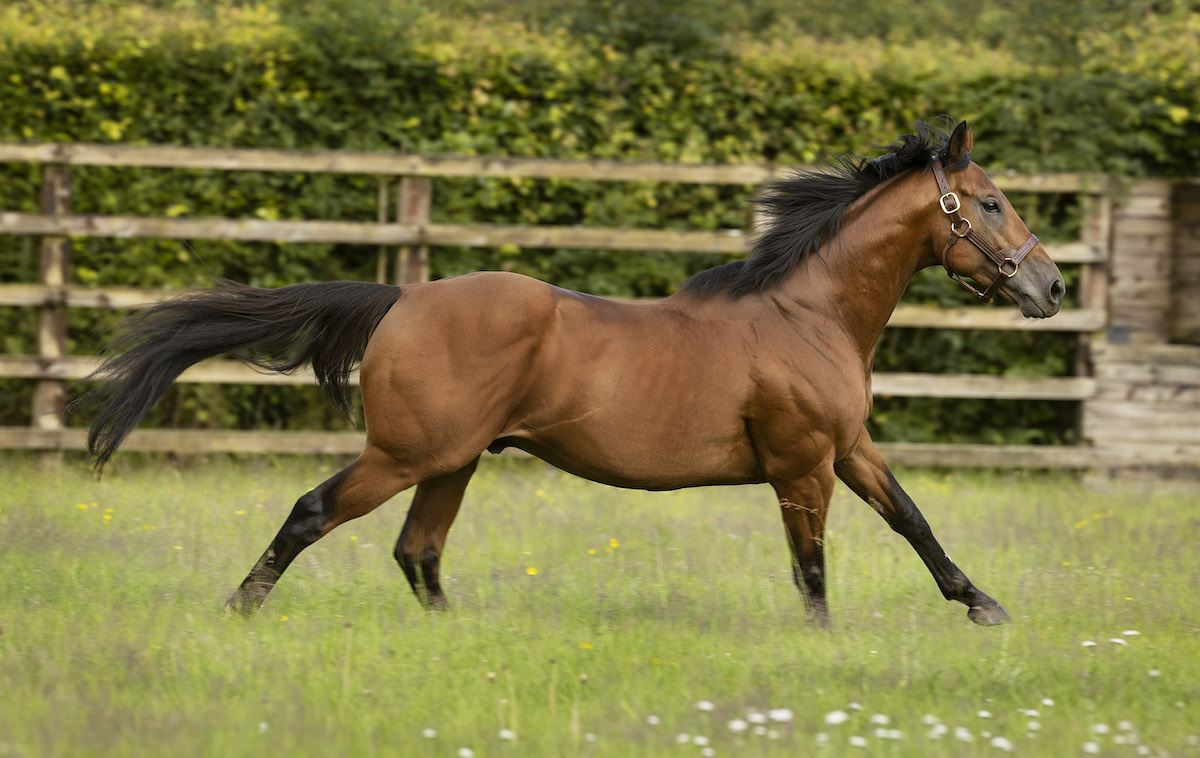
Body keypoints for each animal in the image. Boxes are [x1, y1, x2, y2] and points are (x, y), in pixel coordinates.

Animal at [79, 119, 1065, 628]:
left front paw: (983, 605)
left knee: (418, 550)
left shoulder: (848, 447)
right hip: (407, 454)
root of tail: (402, 298)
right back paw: (241, 608)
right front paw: (824, 644)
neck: (806, 315)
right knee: (316, 512)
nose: (1050, 286)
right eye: (989, 204)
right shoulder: (801, 462)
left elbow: (912, 520)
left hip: (453, 461)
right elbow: (812, 565)